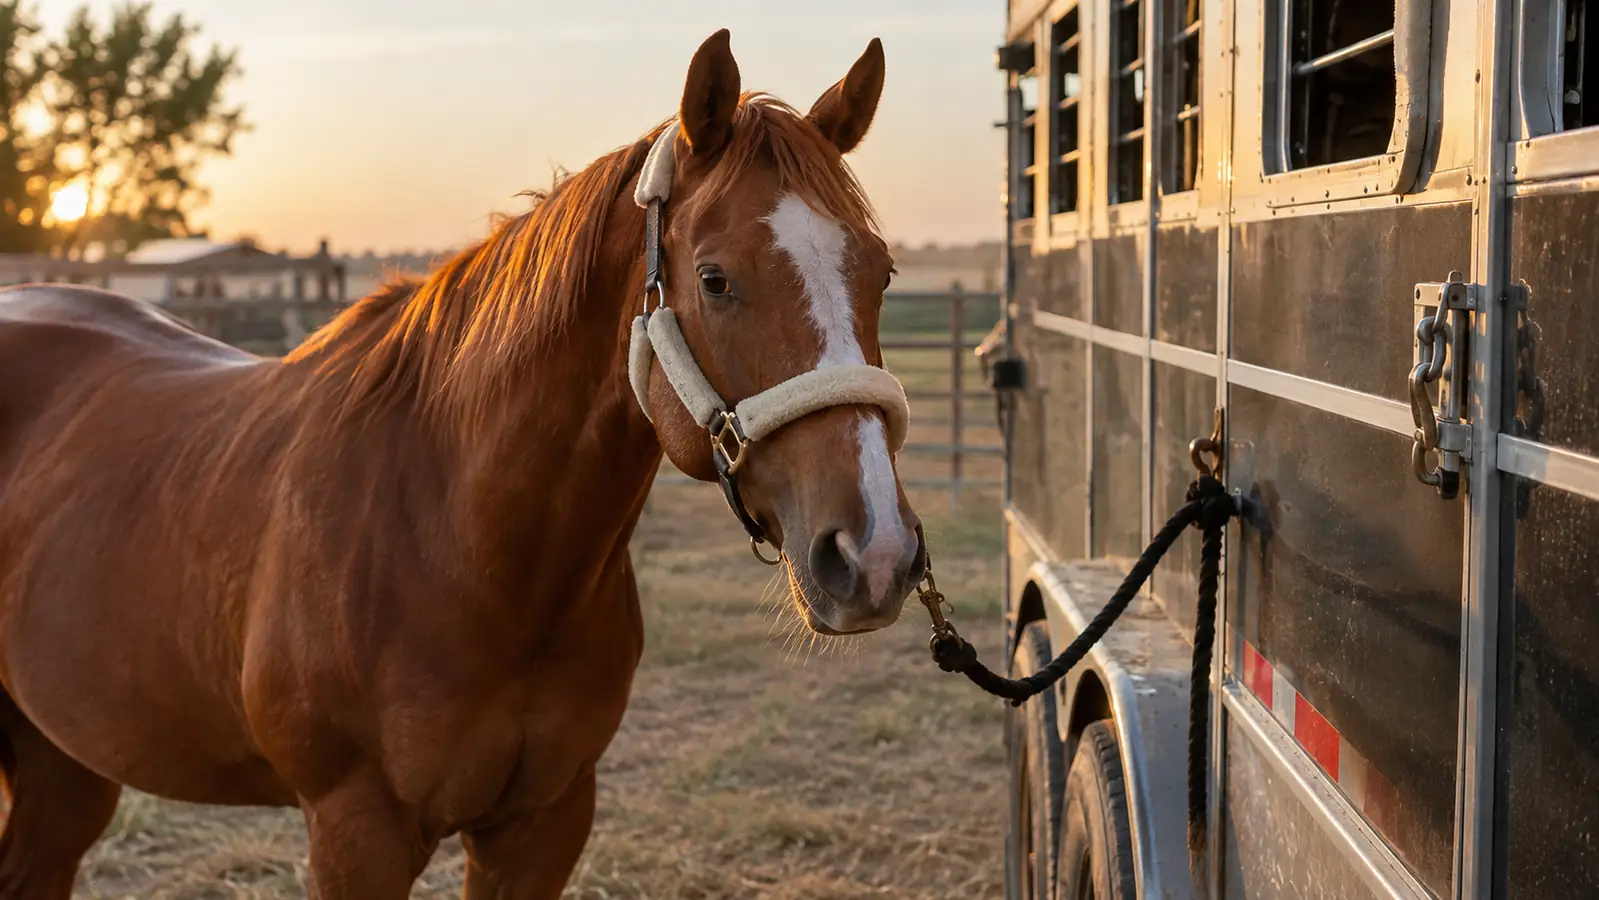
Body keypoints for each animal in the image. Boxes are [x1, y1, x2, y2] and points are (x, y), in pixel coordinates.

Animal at [0, 29, 924, 898]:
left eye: (881, 273)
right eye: (715, 278)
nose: (873, 554)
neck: (458, 543)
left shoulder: (543, 823)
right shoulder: (355, 833)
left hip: (63, 758)